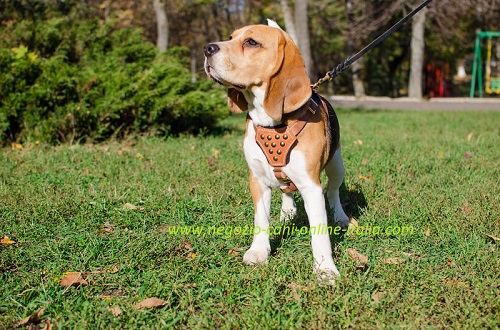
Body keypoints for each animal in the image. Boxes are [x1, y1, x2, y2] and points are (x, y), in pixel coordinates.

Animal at [203, 20, 348, 284]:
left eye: (251, 42)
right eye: (230, 37)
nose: (207, 48)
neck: (273, 123)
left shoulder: (311, 185)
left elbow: (320, 232)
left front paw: (325, 269)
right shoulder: (257, 179)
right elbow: (261, 219)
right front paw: (259, 251)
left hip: (336, 164)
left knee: (333, 191)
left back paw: (340, 216)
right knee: (286, 189)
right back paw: (288, 212)